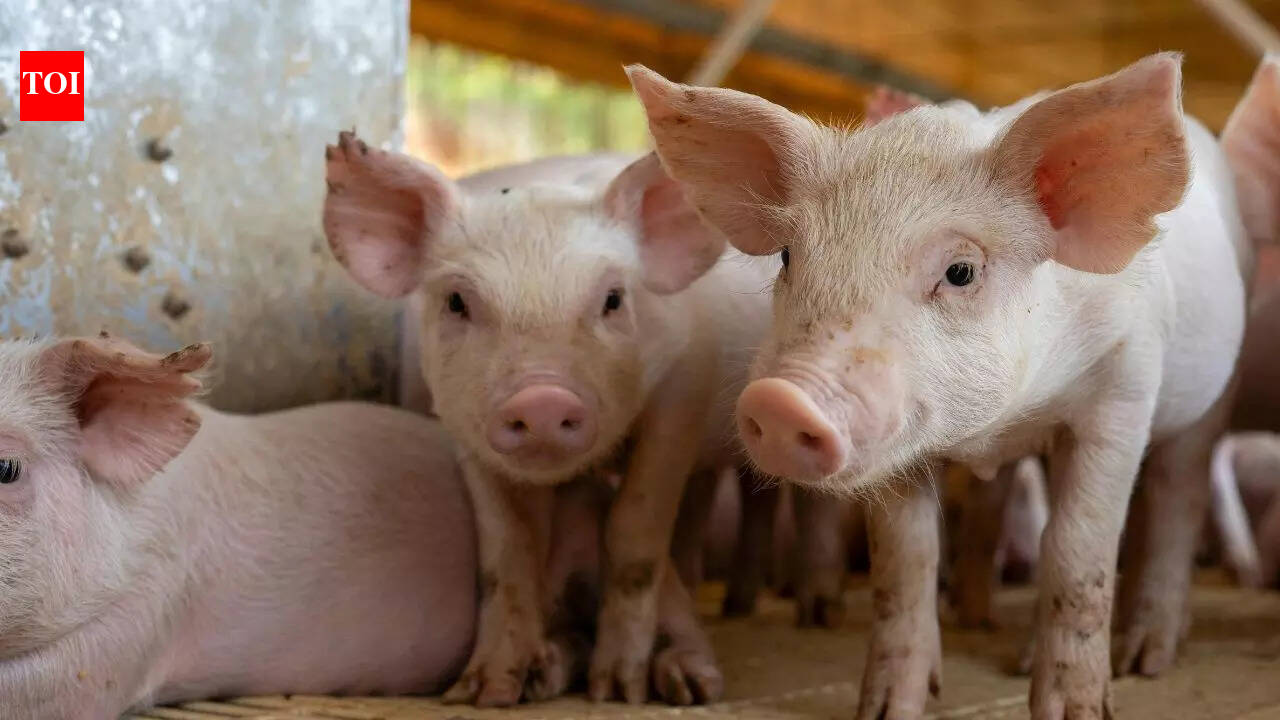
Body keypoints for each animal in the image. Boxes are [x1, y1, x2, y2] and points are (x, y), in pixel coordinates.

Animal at [323, 132, 780, 705]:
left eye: (613, 299)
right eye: (456, 301)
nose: (541, 399)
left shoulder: (683, 390)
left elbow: (635, 531)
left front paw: (617, 690)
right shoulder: (463, 431)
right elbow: (507, 551)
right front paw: (483, 691)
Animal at [628, 52, 1248, 720]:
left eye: (961, 271)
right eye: (789, 256)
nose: (781, 400)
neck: (997, 427)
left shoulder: (1125, 385)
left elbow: (1078, 549)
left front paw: (1076, 711)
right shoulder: (900, 448)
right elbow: (906, 561)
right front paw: (888, 708)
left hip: (1213, 400)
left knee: (1177, 499)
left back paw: (1145, 656)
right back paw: (979, 621)